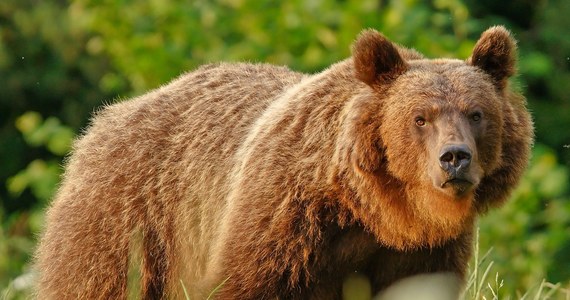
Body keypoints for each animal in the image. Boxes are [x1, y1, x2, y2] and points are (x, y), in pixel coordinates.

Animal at [34, 26, 532, 300]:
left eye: (476, 113)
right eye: (420, 117)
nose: (455, 158)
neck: (374, 211)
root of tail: (106, 120)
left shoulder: (423, 251)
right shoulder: (283, 219)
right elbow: (244, 283)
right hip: (127, 223)